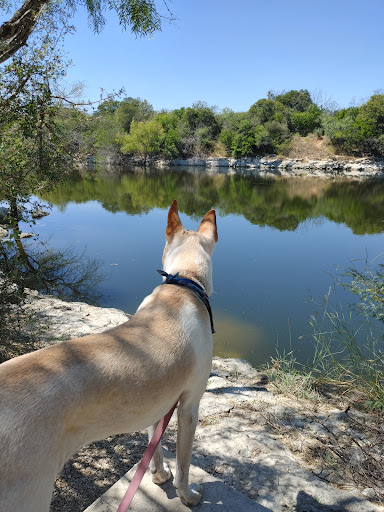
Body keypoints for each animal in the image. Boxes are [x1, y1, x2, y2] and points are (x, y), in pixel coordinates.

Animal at [0, 200, 218, 512]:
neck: (185, 283)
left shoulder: (159, 403)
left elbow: (154, 446)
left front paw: (159, 475)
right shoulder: (189, 407)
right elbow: (184, 465)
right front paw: (187, 495)